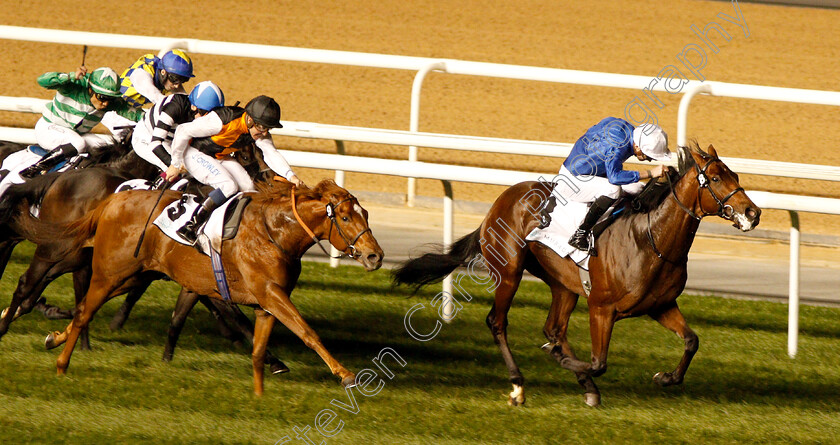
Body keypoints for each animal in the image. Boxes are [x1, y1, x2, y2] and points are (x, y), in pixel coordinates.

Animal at [24, 177, 382, 392]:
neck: (274, 231)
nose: (375, 256)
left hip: (131, 276)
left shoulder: (267, 303)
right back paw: (61, 364)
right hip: (110, 273)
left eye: (366, 214)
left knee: (83, 309)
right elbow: (308, 332)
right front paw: (346, 375)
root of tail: (112, 201)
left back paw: (54, 339)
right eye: (346, 218)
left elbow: (258, 350)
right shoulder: (271, 294)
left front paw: (259, 394)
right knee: (84, 311)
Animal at [394, 143, 760, 406]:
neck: (651, 238)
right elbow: (599, 362)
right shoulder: (601, 307)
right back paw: (519, 385)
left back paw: (584, 385)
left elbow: (691, 341)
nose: (753, 212)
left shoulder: (660, 305)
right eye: (716, 179)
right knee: (498, 322)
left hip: (563, 284)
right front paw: (562, 360)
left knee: (554, 327)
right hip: (509, 271)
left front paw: (666, 377)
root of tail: (500, 202)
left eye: (735, 175)